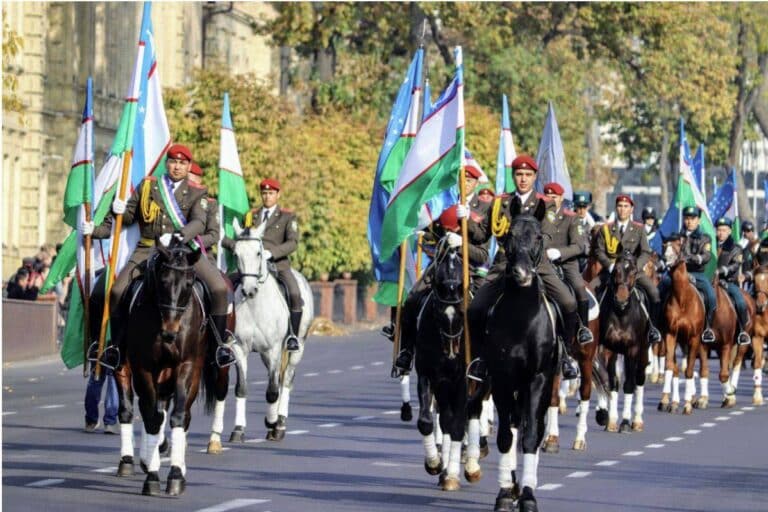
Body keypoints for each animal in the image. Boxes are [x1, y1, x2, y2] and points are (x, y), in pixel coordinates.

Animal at [208, 218, 314, 442]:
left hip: (297, 347)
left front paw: (272, 422)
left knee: (286, 379)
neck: (256, 305)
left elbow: (273, 391)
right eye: (236, 254)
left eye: (259, 252)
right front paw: (238, 429)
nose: (249, 290)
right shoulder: (239, 349)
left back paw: (279, 423)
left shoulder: (273, 350)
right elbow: (241, 388)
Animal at [468, 209, 560, 512]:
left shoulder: (538, 379)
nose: (521, 273)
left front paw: (529, 496)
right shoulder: (501, 379)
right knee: (511, 425)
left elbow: (530, 437)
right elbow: (506, 437)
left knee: (534, 428)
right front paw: (505, 493)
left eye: (539, 237)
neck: (521, 316)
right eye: (508, 235)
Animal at [596, 251, 644, 432]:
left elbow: (629, 384)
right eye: (615, 270)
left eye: (634, 272)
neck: (622, 314)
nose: (621, 299)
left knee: (639, 379)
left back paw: (637, 420)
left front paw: (625, 421)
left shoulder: (632, 350)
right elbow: (612, 383)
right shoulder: (609, 349)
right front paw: (611, 420)